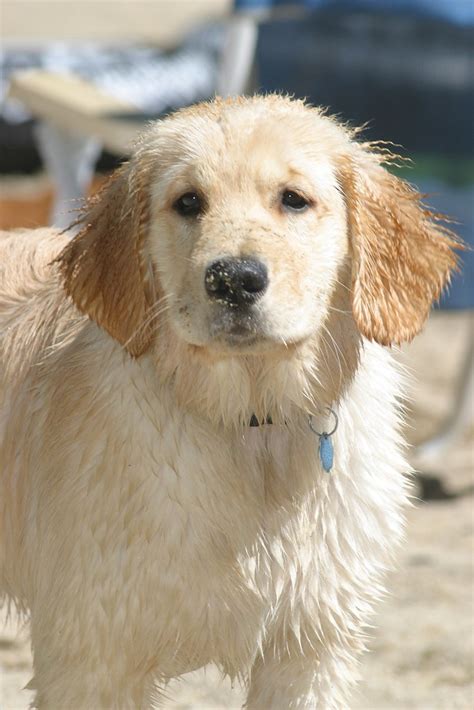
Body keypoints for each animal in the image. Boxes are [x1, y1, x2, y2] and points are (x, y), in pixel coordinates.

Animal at [0, 96, 460, 710]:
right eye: (188, 201)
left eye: (293, 198)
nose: (234, 280)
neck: (251, 427)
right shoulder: (93, 654)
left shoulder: (310, 651)